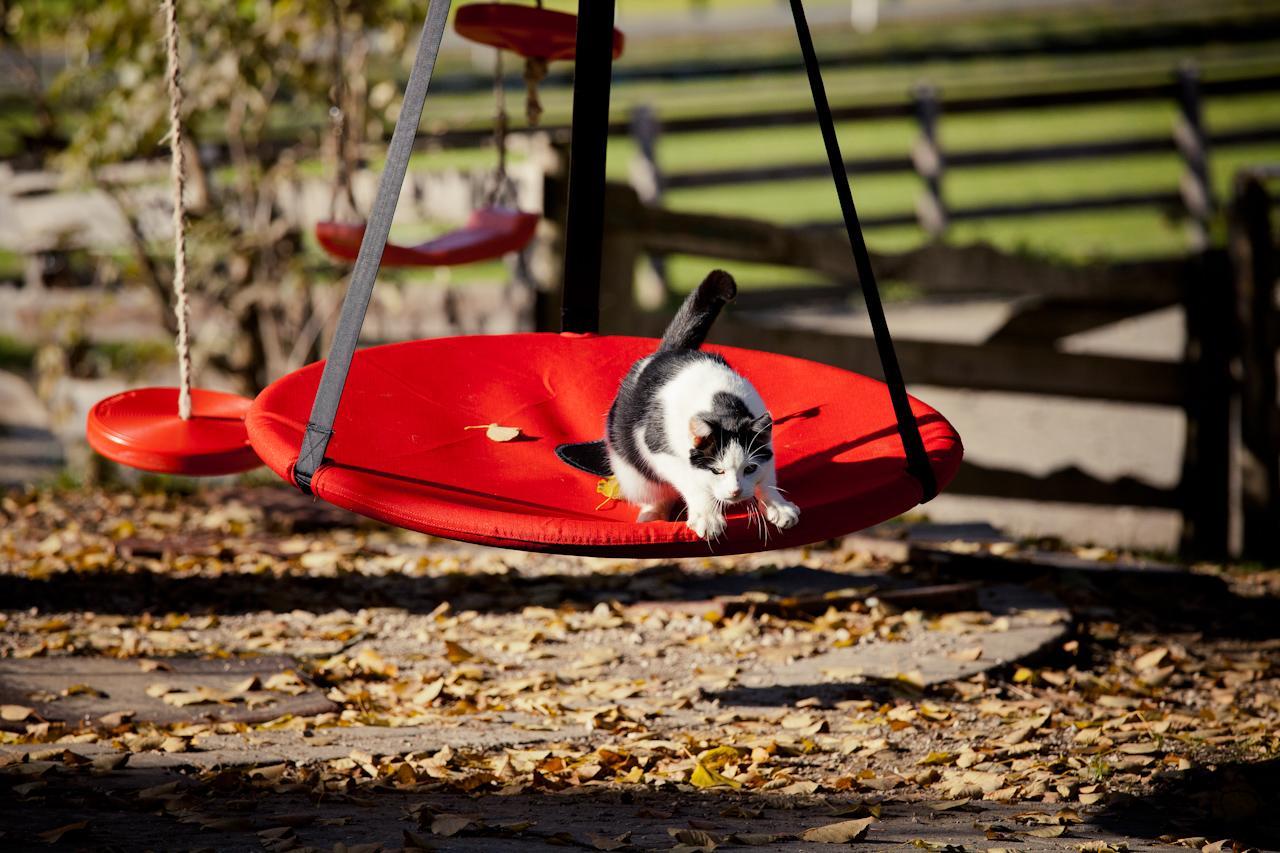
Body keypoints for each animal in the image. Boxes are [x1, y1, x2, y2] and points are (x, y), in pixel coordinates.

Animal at [601, 268, 798, 540]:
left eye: (749, 469)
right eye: (717, 471)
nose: (736, 492)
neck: (722, 405)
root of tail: (668, 352)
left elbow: (768, 474)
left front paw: (777, 504)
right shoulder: (660, 450)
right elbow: (690, 481)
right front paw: (707, 515)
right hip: (633, 472)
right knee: (653, 490)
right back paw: (653, 513)